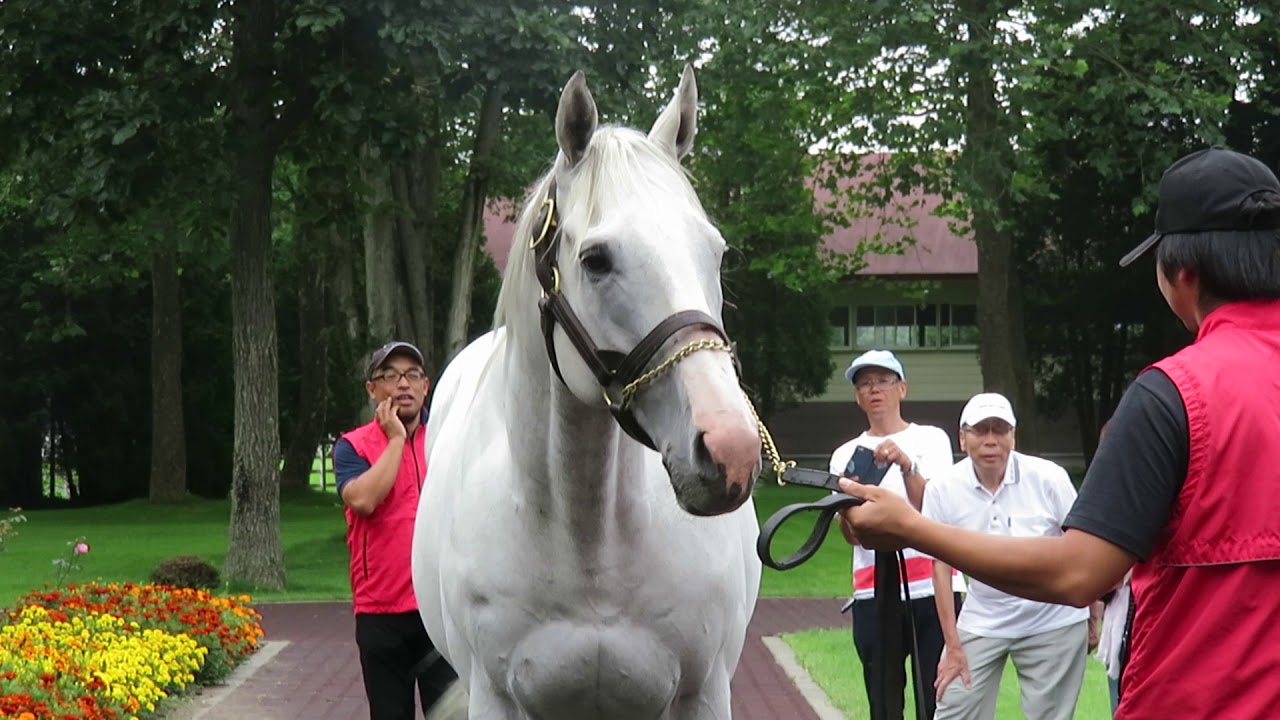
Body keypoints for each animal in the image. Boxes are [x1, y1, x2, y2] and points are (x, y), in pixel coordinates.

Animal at [414, 64, 762, 712]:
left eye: (718, 254)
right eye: (597, 259)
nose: (730, 449)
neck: (588, 541)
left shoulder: (703, 695)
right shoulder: (495, 699)